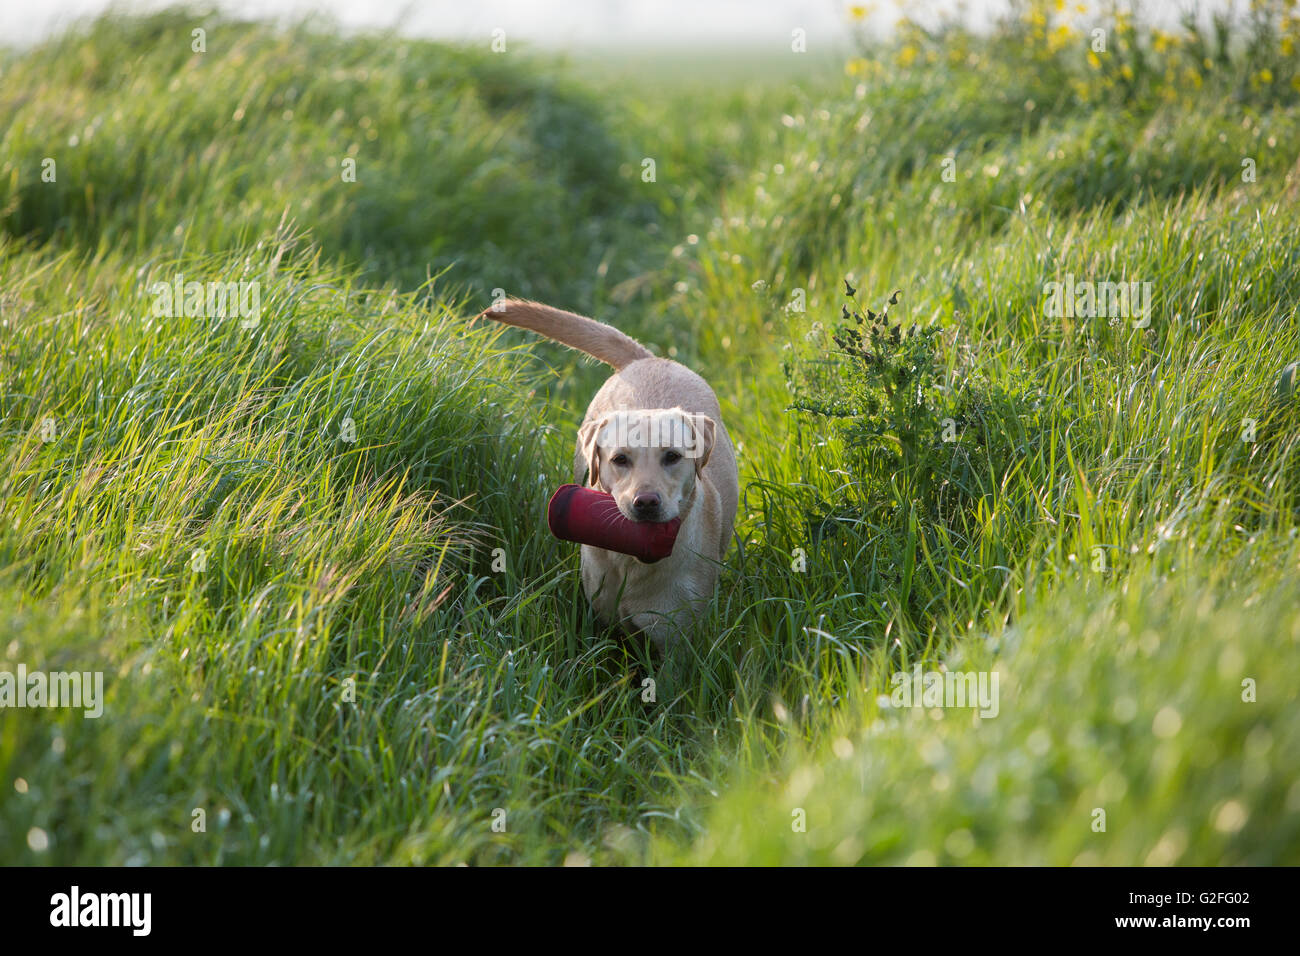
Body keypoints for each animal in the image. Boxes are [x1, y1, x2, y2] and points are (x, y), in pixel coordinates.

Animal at [480, 300, 743, 658]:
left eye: (672, 456)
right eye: (620, 459)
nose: (646, 503)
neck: (633, 561)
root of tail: (646, 358)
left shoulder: (677, 638)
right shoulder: (602, 621)